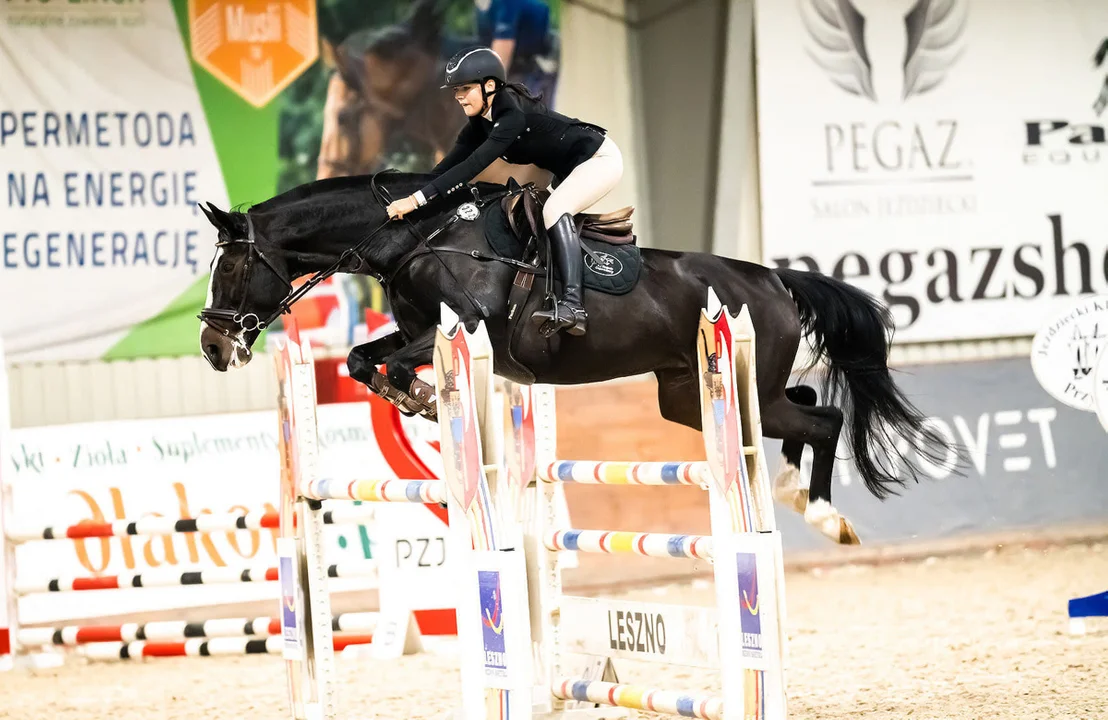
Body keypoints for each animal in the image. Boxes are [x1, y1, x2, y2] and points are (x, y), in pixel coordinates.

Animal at [201, 172, 961, 544]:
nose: (212, 347)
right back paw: (792, 490)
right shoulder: (416, 331)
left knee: (822, 420)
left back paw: (825, 513)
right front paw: (412, 397)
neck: (417, 238)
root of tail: (773, 279)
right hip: (689, 397)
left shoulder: (469, 327)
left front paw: (416, 396)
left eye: (231, 268)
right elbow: (364, 360)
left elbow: (381, 363)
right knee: (798, 410)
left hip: (730, 384)